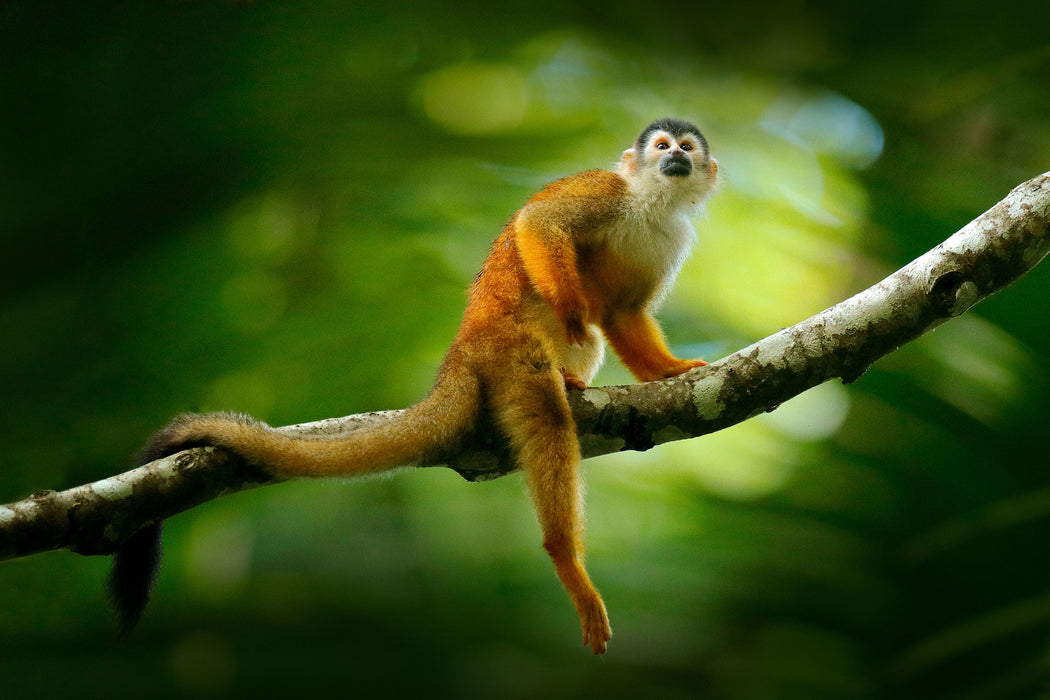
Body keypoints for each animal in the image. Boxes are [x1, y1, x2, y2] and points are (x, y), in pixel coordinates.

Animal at [110, 117, 722, 654]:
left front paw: (668, 371)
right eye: (662, 145)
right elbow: (539, 224)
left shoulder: (673, 238)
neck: (653, 202)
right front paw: (572, 303)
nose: (675, 157)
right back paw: (564, 555)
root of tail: (462, 347)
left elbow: (622, 314)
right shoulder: (607, 190)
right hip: (507, 346)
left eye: (687, 149)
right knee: (547, 412)